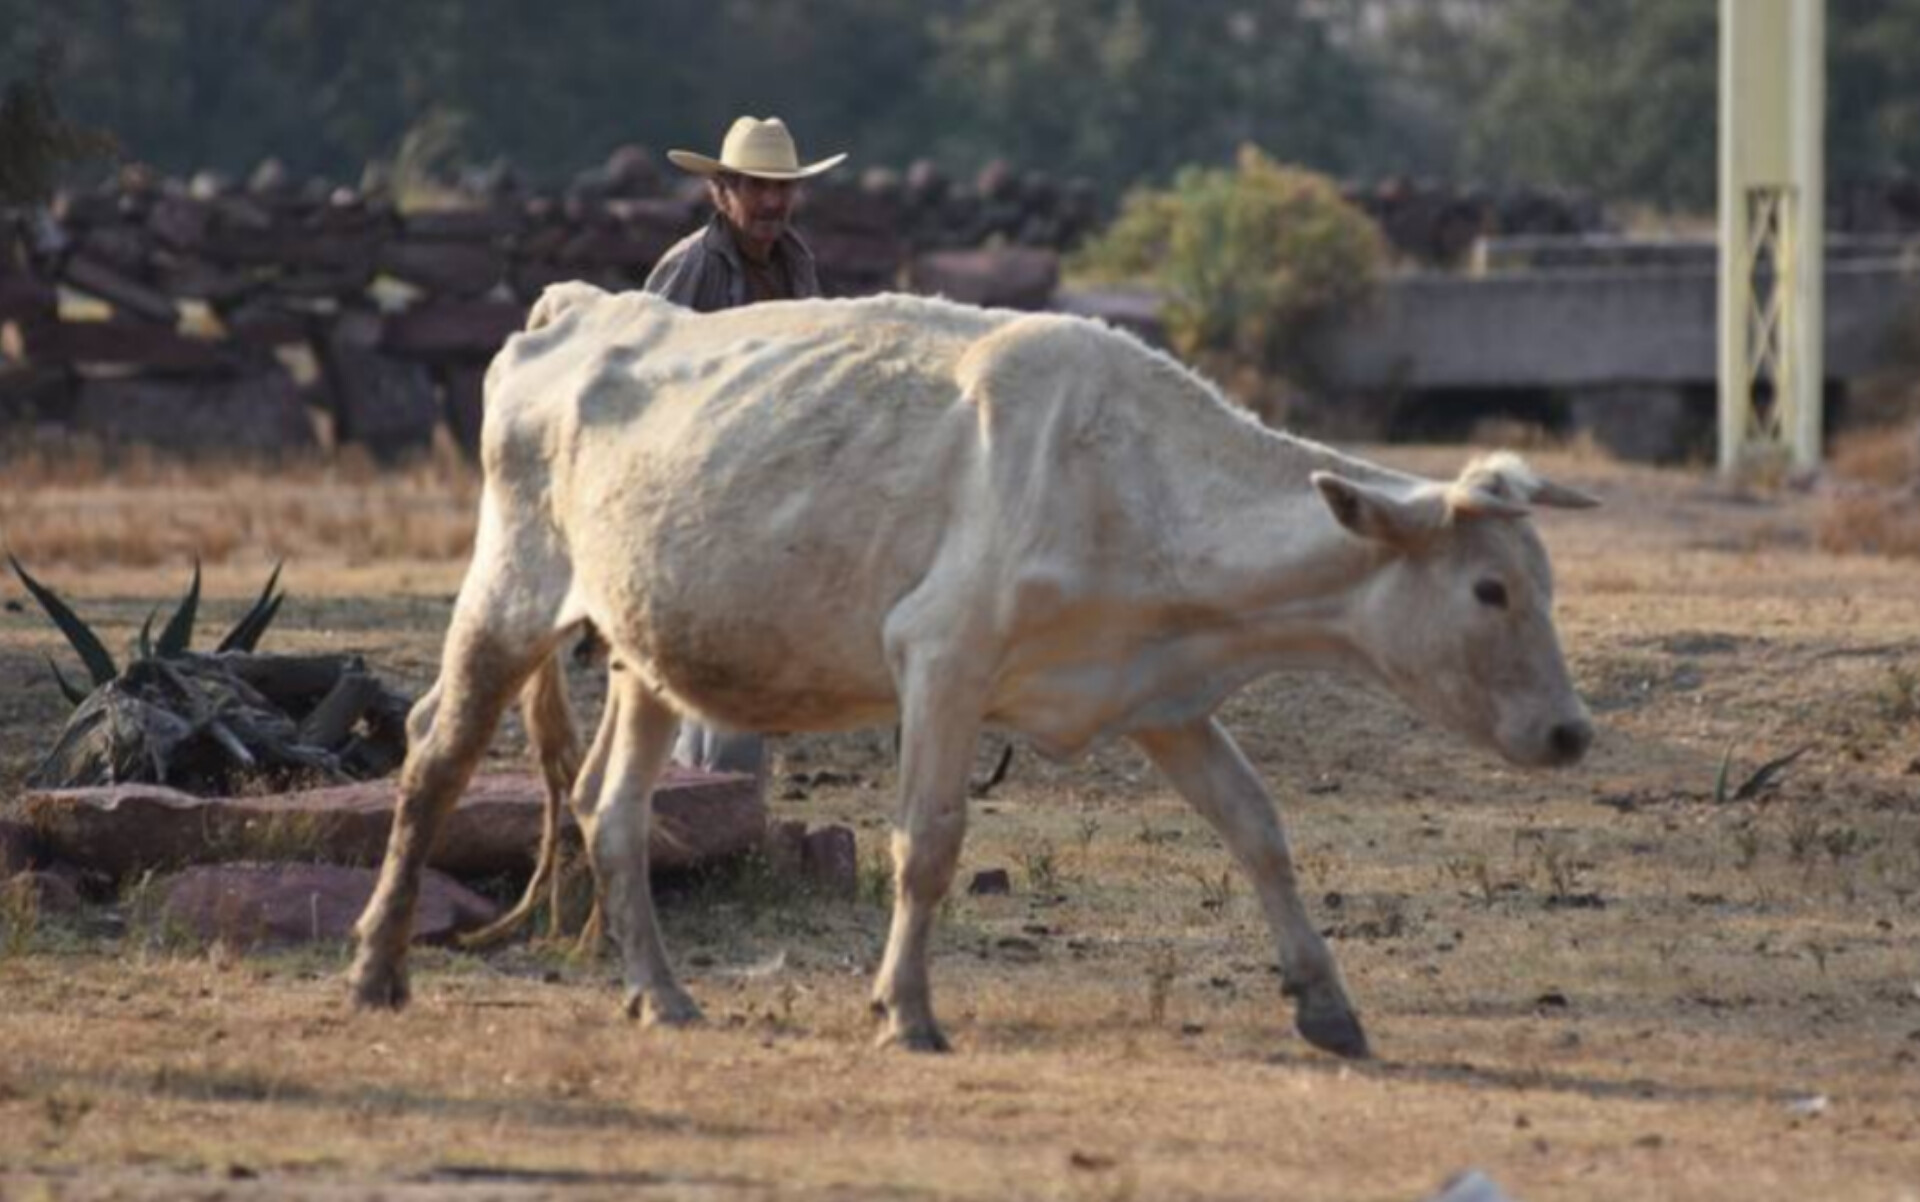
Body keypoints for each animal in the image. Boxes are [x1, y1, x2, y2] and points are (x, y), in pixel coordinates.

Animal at [353, 286, 1597, 1052]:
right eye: (1490, 589)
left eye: (1543, 577)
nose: (1571, 732)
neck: (1128, 474)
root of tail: (580, 308)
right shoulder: (941, 655)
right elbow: (930, 841)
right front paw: (904, 1009)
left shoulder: (1159, 699)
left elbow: (1259, 827)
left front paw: (1327, 1004)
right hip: (512, 589)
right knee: (435, 755)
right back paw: (378, 966)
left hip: (652, 651)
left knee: (610, 811)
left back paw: (660, 993)